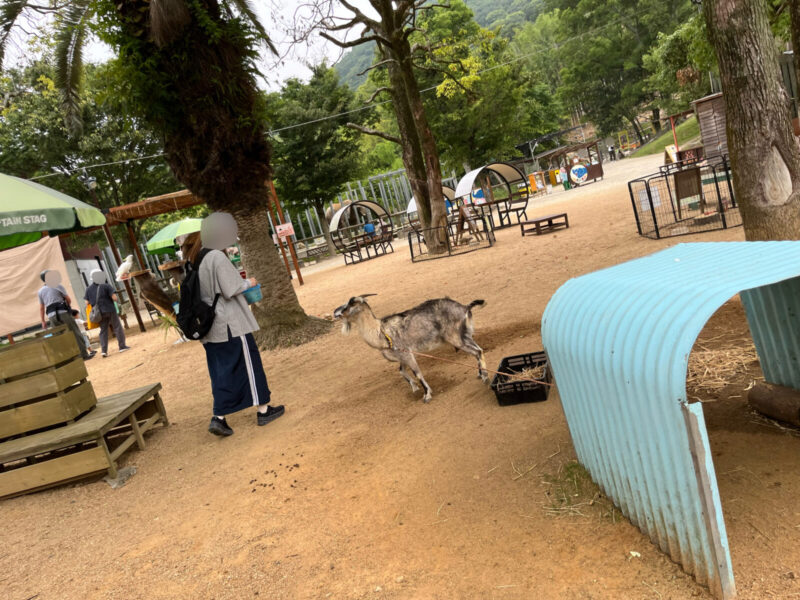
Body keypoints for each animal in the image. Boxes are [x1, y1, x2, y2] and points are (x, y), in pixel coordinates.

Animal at [332, 296, 488, 404]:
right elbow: (401, 371)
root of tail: (465, 307)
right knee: (478, 350)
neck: (380, 332)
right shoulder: (402, 356)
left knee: (478, 352)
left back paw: (485, 377)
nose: (335, 313)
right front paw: (414, 388)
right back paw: (480, 374)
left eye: (349, 305)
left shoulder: (407, 354)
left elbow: (417, 373)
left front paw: (427, 395)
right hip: (465, 336)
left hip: (455, 338)